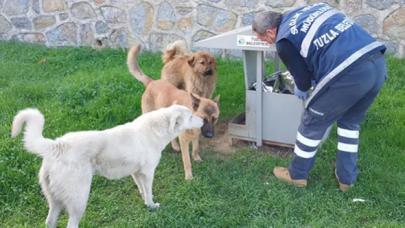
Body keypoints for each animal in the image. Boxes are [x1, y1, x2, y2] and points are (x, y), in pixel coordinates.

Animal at [11, 105, 202, 228]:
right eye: (191, 116)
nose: (203, 121)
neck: (156, 129)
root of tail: (57, 145)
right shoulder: (148, 173)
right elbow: (148, 192)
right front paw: (152, 206)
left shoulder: (136, 173)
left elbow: (142, 190)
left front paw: (146, 203)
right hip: (79, 200)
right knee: (71, 224)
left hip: (54, 201)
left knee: (50, 222)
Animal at [127, 44, 219, 180]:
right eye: (203, 118)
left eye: (215, 119)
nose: (210, 135)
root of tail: (152, 82)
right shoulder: (184, 141)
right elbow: (186, 161)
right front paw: (189, 177)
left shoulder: (195, 136)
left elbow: (195, 148)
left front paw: (196, 157)